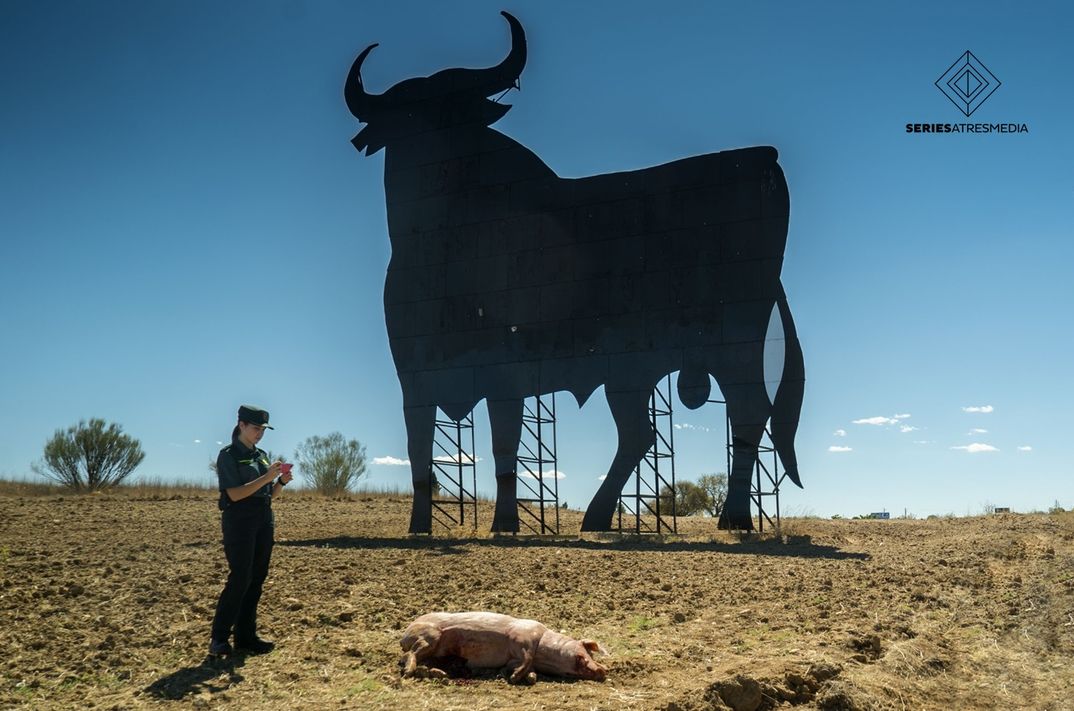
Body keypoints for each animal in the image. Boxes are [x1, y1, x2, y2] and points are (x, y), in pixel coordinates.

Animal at [399, 614, 610, 687]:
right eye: (585, 653)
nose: (603, 670)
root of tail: (405, 634)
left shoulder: (514, 658)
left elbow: (523, 667)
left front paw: (519, 676)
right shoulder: (522, 639)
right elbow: (526, 658)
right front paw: (514, 679)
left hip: (435, 651)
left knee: (422, 662)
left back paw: (440, 674)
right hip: (429, 637)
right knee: (412, 654)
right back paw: (408, 672)